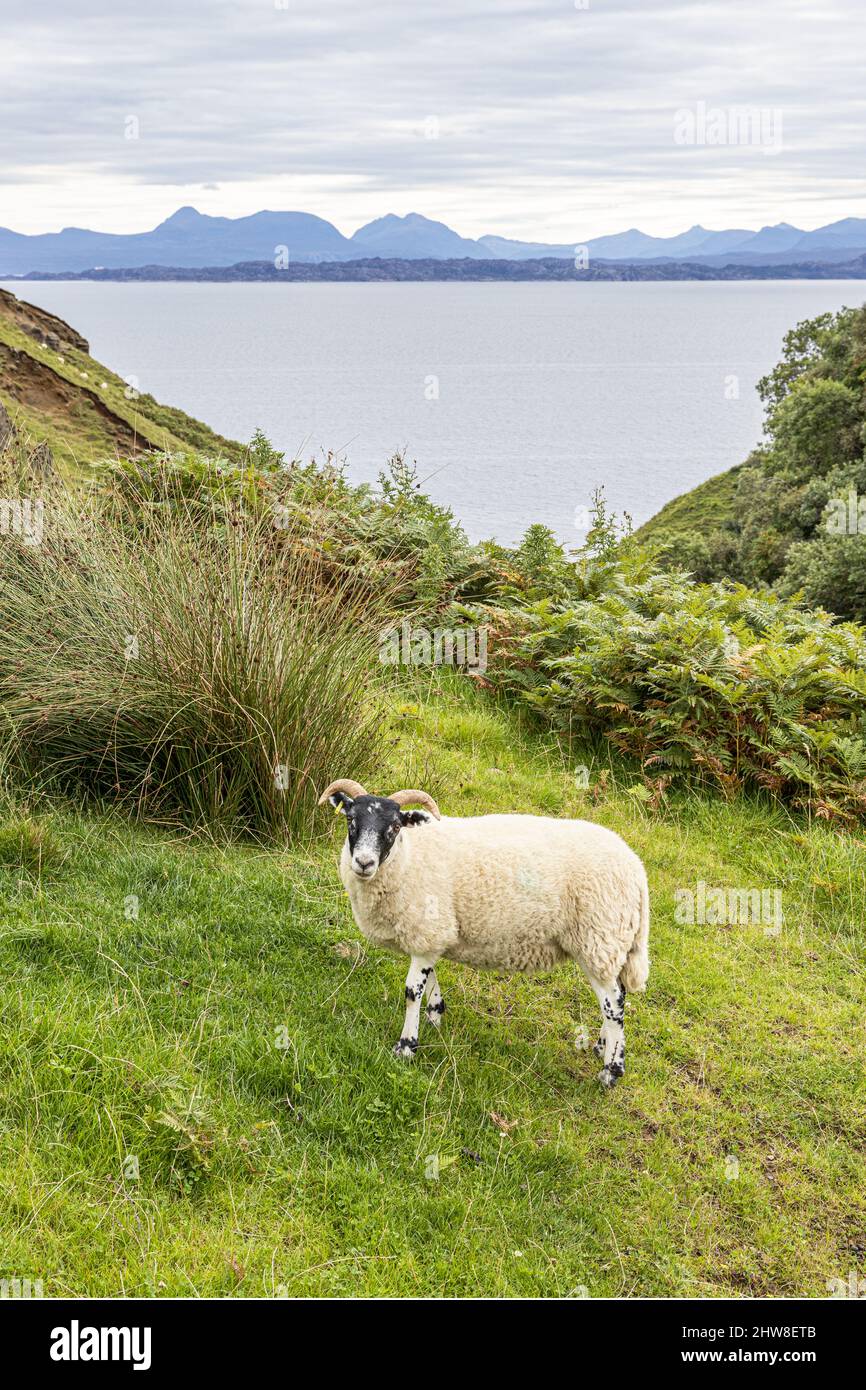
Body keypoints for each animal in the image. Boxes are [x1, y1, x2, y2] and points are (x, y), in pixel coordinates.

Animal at [319, 778, 650, 1088]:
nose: (364, 863)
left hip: (598, 938)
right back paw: (602, 1047)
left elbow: (412, 992)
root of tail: (636, 869)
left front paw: (406, 1046)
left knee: (614, 1004)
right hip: (607, 944)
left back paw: (611, 1070)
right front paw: (436, 1014)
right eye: (350, 820)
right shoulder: (433, 935)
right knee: (615, 997)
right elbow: (430, 978)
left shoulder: (427, 930)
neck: (408, 855)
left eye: (395, 827)